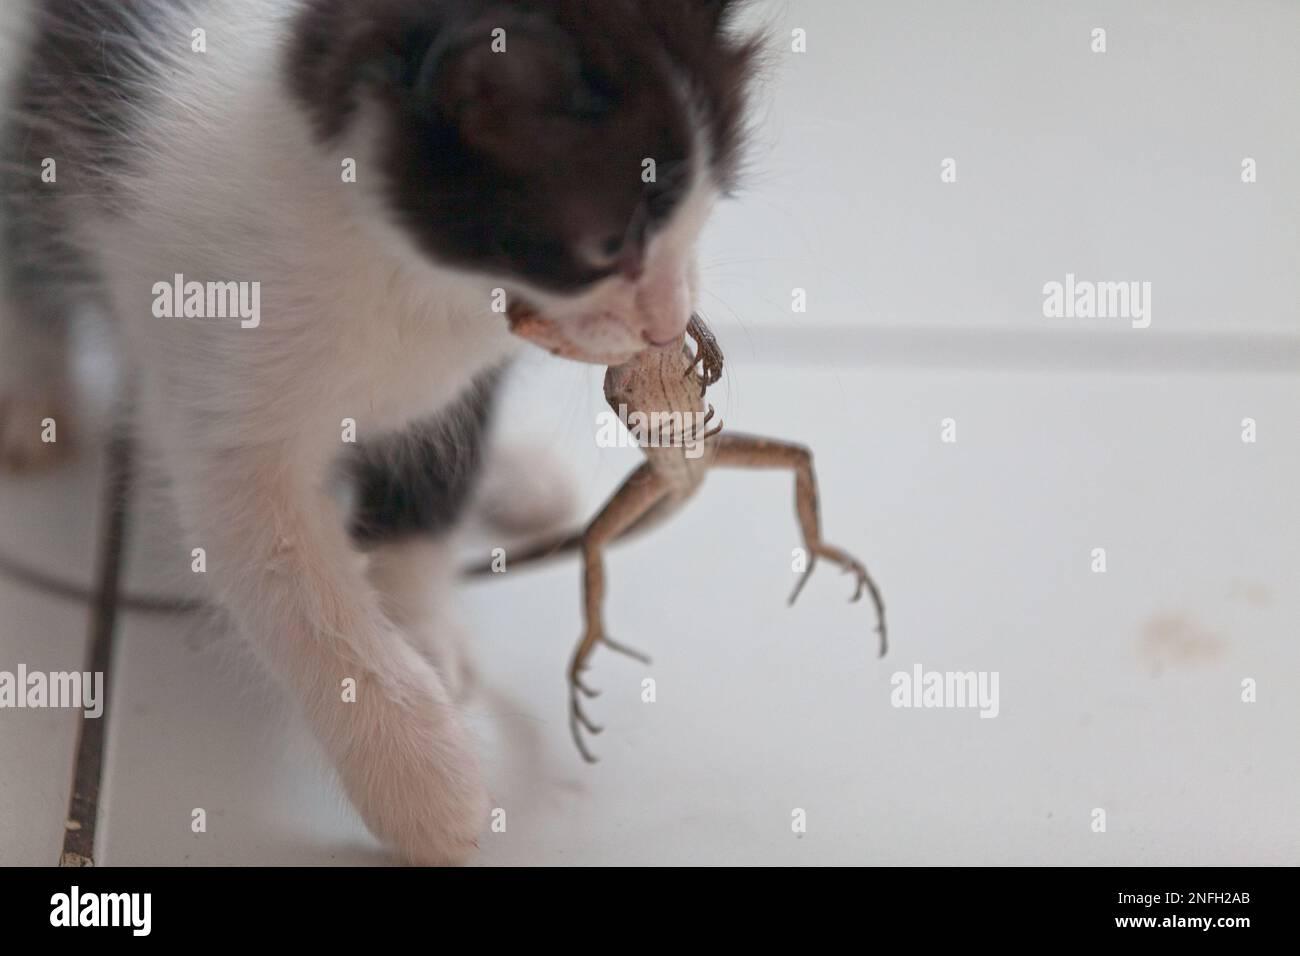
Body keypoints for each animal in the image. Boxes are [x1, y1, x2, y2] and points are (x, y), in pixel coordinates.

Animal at [0, 0, 754, 863]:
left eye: (713, 197)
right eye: (608, 247)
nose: (667, 320)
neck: (410, 274)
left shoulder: (464, 377)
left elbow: (430, 491)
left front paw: (422, 631)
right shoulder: (228, 410)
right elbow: (306, 596)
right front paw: (427, 784)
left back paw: (519, 474)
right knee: (31, 240)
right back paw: (31, 395)